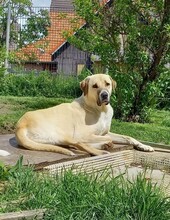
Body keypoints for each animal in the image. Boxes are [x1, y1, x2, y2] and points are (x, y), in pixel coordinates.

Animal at [15, 74, 154, 156]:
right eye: (94, 86)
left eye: (107, 84)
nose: (104, 95)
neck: (101, 110)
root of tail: (20, 126)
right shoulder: (83, 134)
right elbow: (97, 139)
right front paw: (104, 144)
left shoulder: (105, 133)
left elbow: (128, 137)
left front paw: (144, 146)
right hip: (64, 133)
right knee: (78, 143)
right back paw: (101, 151)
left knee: (72, 144)